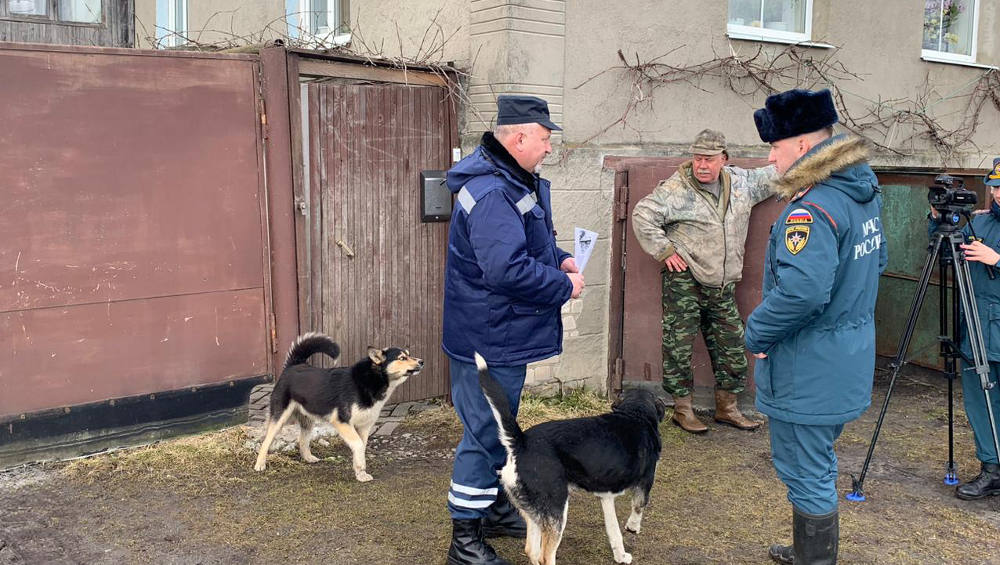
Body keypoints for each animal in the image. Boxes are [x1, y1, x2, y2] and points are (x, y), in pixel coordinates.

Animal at [254, 332, 422, 482]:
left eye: (409, 355)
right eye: (402, 358)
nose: (421, 361)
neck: (371, 380)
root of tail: (293, 365)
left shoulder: (364, 426)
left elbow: (361, 448)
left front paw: (360, 472)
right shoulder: (342, 421)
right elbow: (358, 445)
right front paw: (360, 472)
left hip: (307, 420)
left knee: (302, 440)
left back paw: (308, 458)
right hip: (280, 418)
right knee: (266, 440)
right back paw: (260, 464)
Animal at [476, 352, 664, 564]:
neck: (635, 414)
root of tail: (521, 442)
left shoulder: (606, 497)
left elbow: (613, 531)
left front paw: (620, 556)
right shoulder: (645, 482)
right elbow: (638, 508)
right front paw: (633, 528)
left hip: (533, 513)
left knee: (531, 550)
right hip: (557, 510)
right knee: (545, 555)